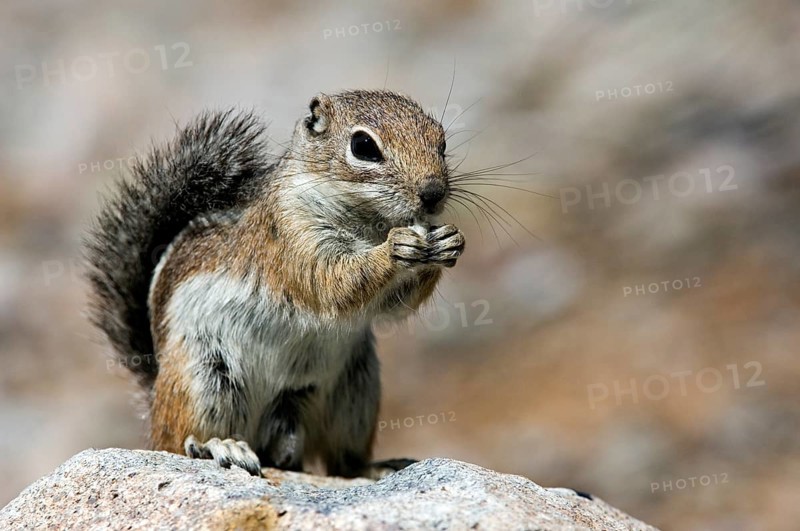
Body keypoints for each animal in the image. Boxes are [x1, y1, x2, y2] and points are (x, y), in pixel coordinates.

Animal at [85, 90, 465, 478]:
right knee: (178, 441)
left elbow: (394, 306)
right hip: (204, 379)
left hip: (354, 394)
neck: (368, 223)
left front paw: (449, 241)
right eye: (363, 146)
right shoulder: (292, 236)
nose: (433, 193)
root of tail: (155, 396)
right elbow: (333, 282)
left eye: (442, 142)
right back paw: (218, 446)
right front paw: (394, 248)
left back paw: (372, 467)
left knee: (340, 462)